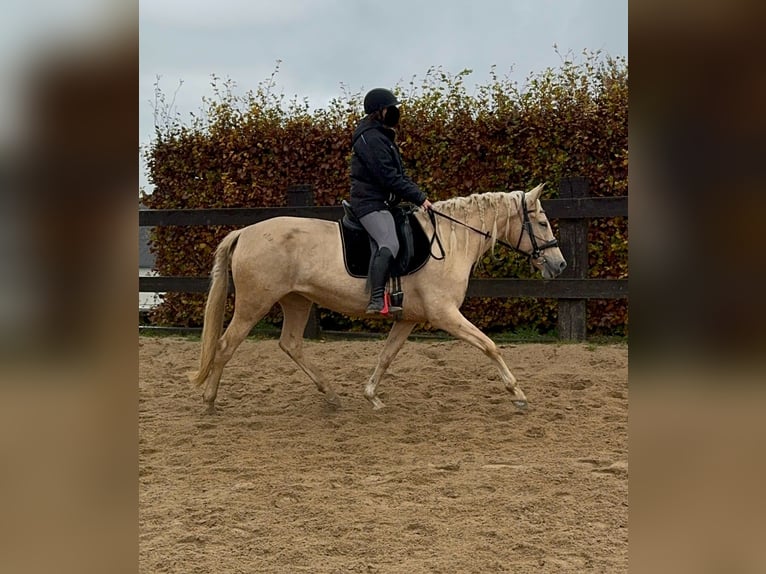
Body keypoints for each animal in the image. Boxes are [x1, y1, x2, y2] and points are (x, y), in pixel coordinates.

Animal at [189, 184, 568, 414]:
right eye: (543, 223)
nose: (560, 264)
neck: (449, 239)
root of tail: (245, 232)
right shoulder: (444, 314)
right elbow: (490, 346)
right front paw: (517, 394)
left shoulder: (409, 319)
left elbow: (387, 356)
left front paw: (372, 396)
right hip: (254, 304)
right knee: (225, 346)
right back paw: (208, 402)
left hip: (297, 300)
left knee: (291, 344)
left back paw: (331, 394)